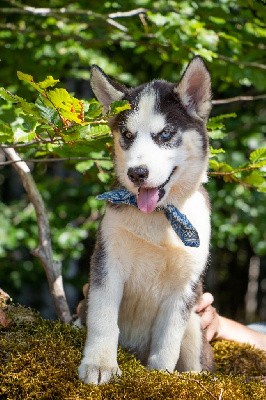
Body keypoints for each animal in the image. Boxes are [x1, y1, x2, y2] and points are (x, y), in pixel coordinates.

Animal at [79, 57, 214, 384]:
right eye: (127, 135)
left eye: (165, 134)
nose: (137, 173)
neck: (156, 219)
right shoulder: (107, 262)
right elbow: (102, 319)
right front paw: (100, 364)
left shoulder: (185, 288)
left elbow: (167, 342)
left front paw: (161, 376)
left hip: (195, 324)